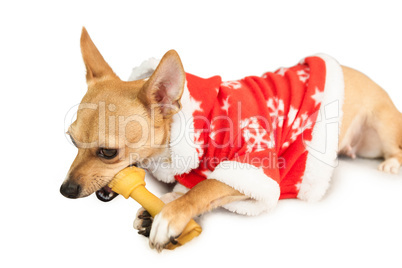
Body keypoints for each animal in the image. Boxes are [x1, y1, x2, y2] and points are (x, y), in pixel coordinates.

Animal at [59, 27, 402, 251]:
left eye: (108, 152)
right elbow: (192, 186)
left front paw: (170, 214)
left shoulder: (256, 167)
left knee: (394, 145)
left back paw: (392, 164)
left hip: (380, 127)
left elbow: (206, 187)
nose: (65, 190)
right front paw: (165, 202)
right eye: (72, 142)